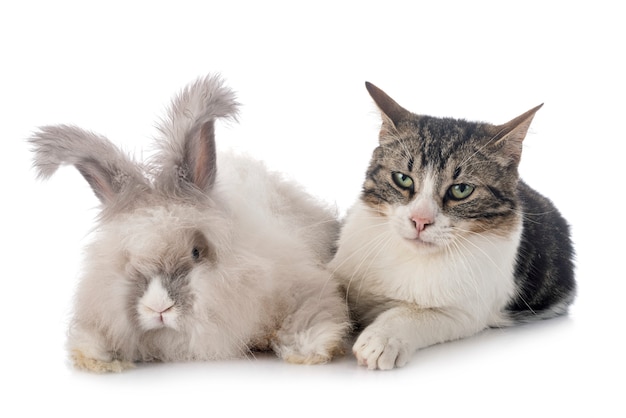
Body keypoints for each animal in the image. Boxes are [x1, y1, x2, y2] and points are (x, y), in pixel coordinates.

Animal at [29, 74, 348, 372]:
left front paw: (311, 349)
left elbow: (311, 313)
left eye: (196, 252)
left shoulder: (300, 283)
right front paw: (95, 357)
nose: (159, 307)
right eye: (129, 262)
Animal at [326, 81, 576, 370]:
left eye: (461, 190)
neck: (411, 258)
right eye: (402, 179)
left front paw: (382, 338)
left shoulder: (466, 312)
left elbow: (414, 314)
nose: (420, 220)